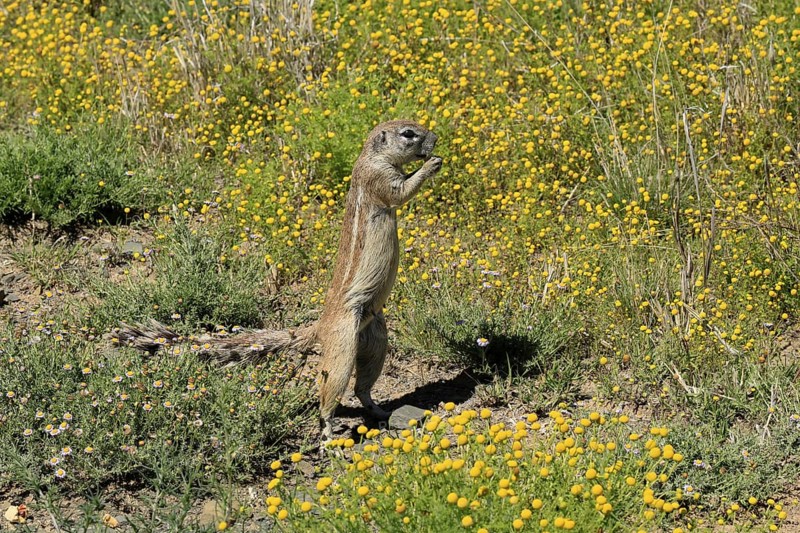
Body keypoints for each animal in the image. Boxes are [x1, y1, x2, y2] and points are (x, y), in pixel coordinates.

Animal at [120, 120, 442, 439]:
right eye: (408, 134)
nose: (436, 139)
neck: (371, 157)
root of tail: (320, 327)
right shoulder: (380, 179)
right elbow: (400, 192)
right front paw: (432, 165)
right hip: (343, 346)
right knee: (330, 389)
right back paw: (328, 433)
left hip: (376, 340)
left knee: (362, 386)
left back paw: (379, 411)